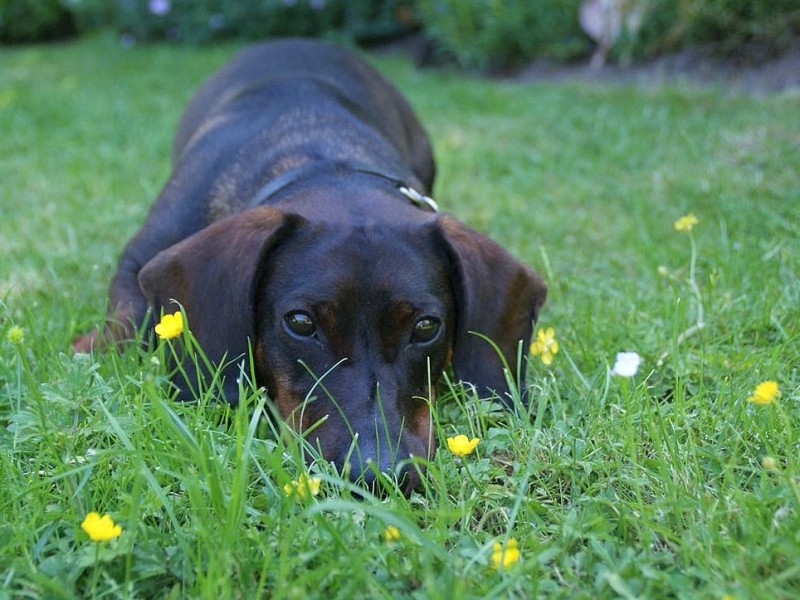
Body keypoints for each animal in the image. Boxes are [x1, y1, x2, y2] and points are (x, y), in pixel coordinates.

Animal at [73, 37, 544, 490]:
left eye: (427, 327)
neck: (322, 161)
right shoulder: (138, 261)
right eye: (300, 322)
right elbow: (126, 323)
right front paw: (88, 349)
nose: (376, 475)